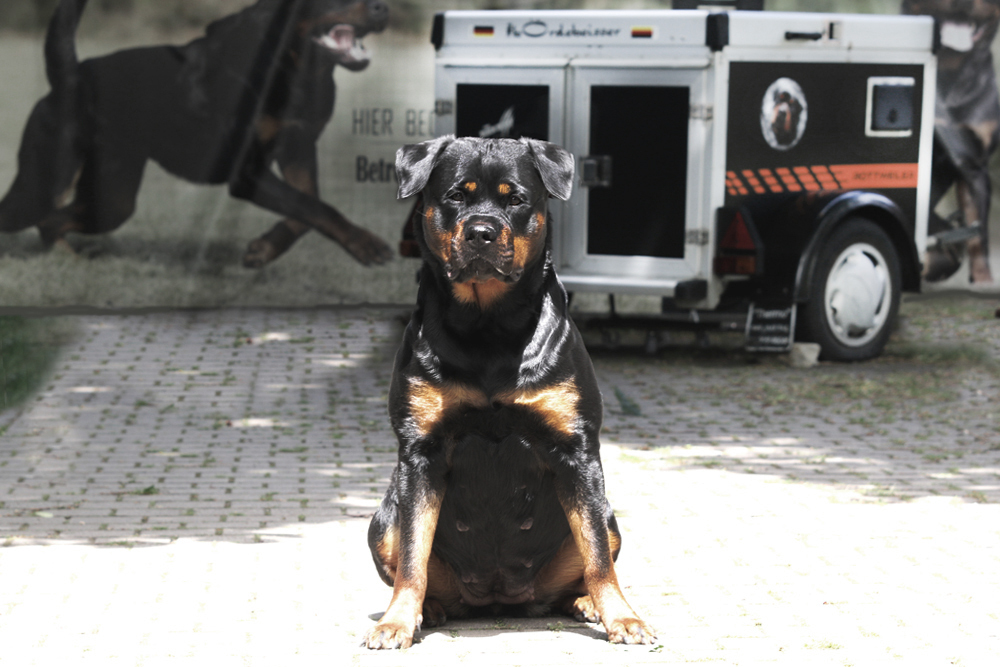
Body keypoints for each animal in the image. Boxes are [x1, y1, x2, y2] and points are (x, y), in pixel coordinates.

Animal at [0, 0, 393, 268]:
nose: (383, 8)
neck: (297, 70)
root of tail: (67, 77)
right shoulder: (246, 173)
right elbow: (315, 206)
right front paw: (366, 243)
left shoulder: (298, 148)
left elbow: (308, 206)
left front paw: (264, 249)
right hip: (47, 181)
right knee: (35, 216)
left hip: (113, 196)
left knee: (53, 221)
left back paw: (71, 262)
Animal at [364, 135, 655, 649]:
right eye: (456, 196)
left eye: (516, 199)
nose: (481, 232)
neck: (489, 327)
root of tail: (500, 598)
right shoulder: (420, 452)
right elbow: (414, 555)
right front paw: (397, 621)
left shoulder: (576, 449)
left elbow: (598, 556)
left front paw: (622, 616)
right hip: (381, 521)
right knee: (407, 554)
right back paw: (429, 609)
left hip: (610, 514)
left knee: (594, 547)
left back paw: (585, 603)